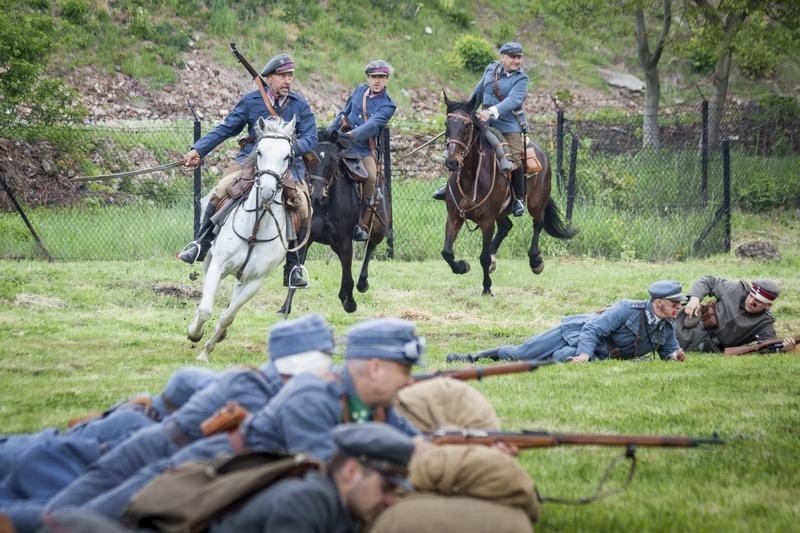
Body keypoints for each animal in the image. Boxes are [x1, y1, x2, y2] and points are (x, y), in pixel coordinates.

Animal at [186, 116, 296, 362]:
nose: (266, 191)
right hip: (210, 261)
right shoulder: (218, 265)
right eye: (260, 152)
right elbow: (206, 309)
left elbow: (227, 316)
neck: (255, 228)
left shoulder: (254, 282)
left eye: (287, 156)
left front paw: (207, 350)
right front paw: (194, 334)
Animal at [278, 127, 388, 314]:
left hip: (378, 229)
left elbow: (347, 274)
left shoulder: (345, 242)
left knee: (370, 247)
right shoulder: (306, 239)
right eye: (309, 158)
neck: (325, 206)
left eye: (334, 159)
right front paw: (286, 306)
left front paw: (349, 302)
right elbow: (296, 272)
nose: (317, 195)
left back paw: (362, 282)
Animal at [440, 89, 580, 294]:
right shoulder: (453, 216)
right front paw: (462, 266)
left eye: (467, 125)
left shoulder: (487, 221)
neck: (470, 179)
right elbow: (447, 252)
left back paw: (535, 261)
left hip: (536, 204)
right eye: (447, 124)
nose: (451, 162)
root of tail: (541, 152)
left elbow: (482, 257)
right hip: (502, 211)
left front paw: (487, 288)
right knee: (506, 226)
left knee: (537, 224)